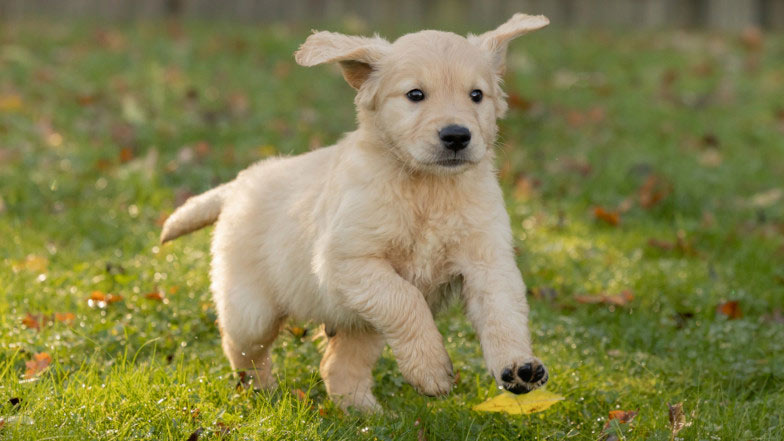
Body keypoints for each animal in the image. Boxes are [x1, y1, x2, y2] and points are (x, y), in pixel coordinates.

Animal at [160, 13, 552, 412]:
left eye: (477, 95)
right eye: (415, 95)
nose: (457, 136)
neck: (427, 188)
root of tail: (239, 184)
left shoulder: (487, 260)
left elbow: (503, 312)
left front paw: (518, 366)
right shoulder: (347, 261)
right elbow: (407, 299)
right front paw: (432, 371)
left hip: (359, 321)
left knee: (337, 367)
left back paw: (363, 412)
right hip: (253, 310)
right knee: (240, 348)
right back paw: (262, 391)